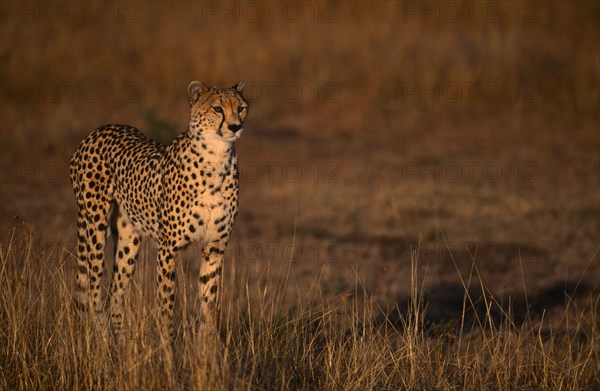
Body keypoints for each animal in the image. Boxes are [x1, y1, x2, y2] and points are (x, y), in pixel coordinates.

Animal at [69, 81, 247, 342]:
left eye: (241, 108)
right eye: (217, 108)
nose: (236, 126)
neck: (216, 159)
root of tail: (98, 130)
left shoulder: (215, 246)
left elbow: (209, 303)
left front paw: (208, 346)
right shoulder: (167, 248)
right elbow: (166, 304)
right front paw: (168, 346)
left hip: (129, 240)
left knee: (115, 294)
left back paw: (120, 344)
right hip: (95, 229)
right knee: (93, 289)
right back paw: (102, 340)